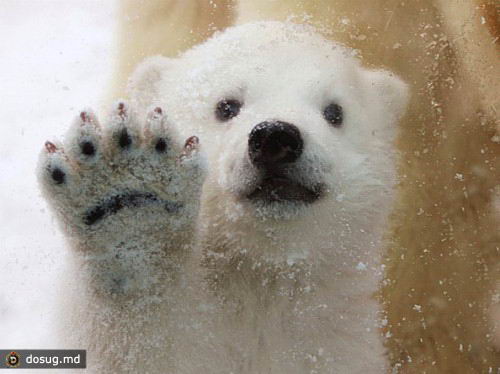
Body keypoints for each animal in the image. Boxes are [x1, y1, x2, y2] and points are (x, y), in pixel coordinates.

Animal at [38, 21, 406, 372]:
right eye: (226, 106)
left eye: (335, 112)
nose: (275, 138)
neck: (262, 276)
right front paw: (127, 203)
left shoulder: (337, 341)